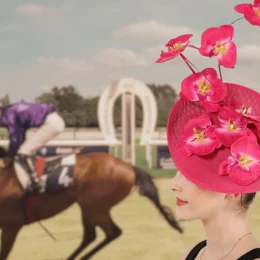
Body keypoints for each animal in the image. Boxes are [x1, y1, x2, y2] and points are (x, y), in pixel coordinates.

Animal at [0, 149, 182, 260]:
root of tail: (129, 167)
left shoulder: (11, 226)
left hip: (94, 207)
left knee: (112, 232)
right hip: (89, 207)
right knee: (91, 236)